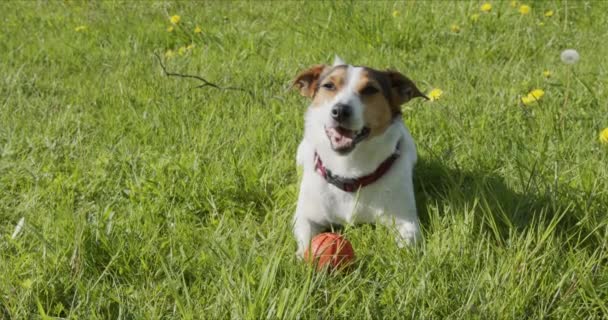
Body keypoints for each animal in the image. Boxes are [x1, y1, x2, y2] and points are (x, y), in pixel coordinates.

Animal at [290, 57, 426, 258]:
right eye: (329, 86)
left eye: (370, 89)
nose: (340, 110)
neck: (349, 173)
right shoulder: (306, 216)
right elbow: (305, 237)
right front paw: (304, 258)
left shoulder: (406, 221)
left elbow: (407, 244)